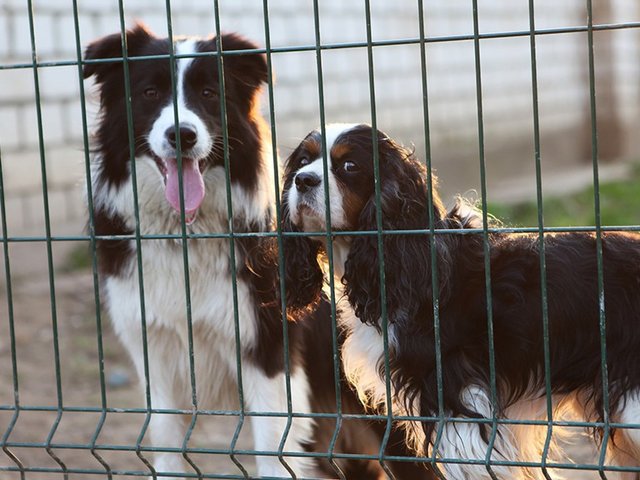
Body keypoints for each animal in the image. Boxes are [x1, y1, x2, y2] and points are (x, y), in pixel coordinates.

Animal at [82, 26, 428, 480]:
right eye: (150, 92)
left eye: (209, 92)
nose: (182, 135)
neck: (185, 233)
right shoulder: (153, 349)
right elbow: (165, 441)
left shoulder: (269, 349)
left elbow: (273, 449)